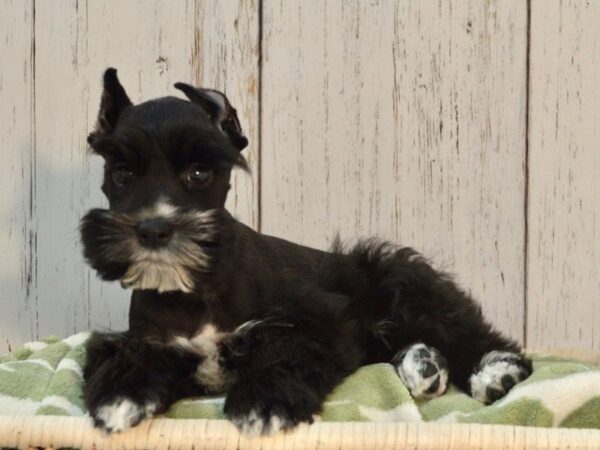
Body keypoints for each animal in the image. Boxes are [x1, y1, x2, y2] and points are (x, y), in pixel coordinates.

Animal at [81, 67, 536, 436]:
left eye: (199, 172)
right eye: (121, 173)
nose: (153, 229)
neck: (196, 290)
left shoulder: (319, 319)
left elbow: (288, 354)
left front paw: (263, 403)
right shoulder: (150, 340)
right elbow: (123, 355)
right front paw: (120, 395)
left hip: (404, 282)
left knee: (471, 333)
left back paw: (495, 371)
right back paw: (422, 365)